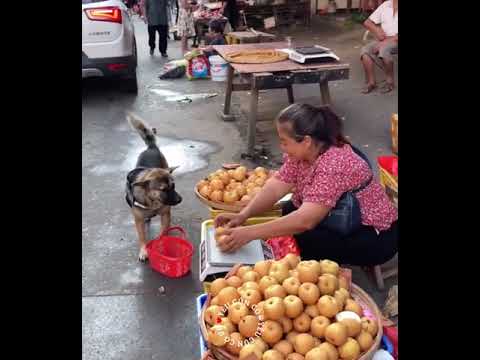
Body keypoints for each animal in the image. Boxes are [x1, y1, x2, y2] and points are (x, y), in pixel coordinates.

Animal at [125, 112, 182, 262]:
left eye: (173, 185)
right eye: (163, 189)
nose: (180, 200)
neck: (152, 201)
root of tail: (151, 147)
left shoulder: (166, 215)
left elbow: (164, 232)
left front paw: (161, 242)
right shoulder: (138, 221)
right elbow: (142, 236)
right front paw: (143, 250)